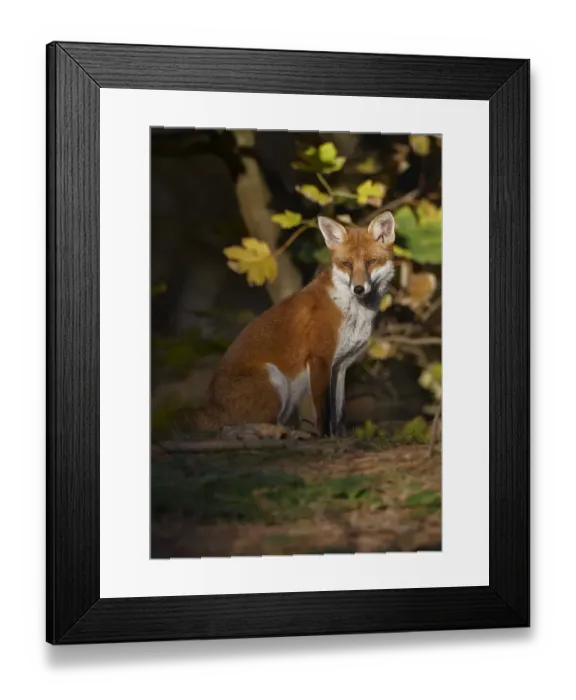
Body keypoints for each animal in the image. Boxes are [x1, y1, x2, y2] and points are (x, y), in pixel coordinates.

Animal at [191, 210, 396, 437]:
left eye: (371, 261)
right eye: (347, 264)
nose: (358, 289)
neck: (353, 312)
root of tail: (209, 408)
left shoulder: (340, 366)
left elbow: (340, 413)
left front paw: (339, 437)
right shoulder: (320, 359)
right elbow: (324, 412)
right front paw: (324, 437)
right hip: (277, 380)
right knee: (241, 426)